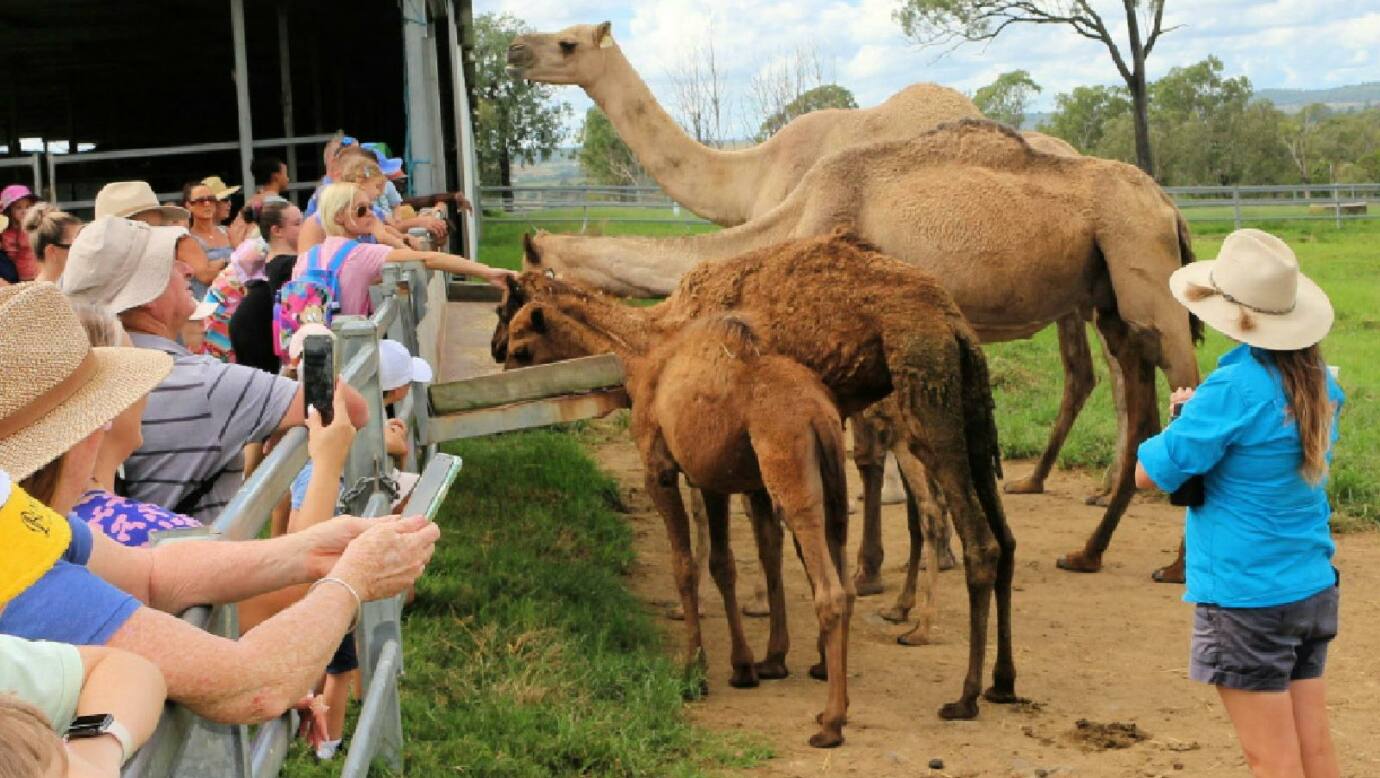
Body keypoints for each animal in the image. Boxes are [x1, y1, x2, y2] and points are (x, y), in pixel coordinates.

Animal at [495, 231, 1018, 723]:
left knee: (975, 539)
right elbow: (772, 547)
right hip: (970, 405)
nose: (497, 352)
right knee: (1004, 537)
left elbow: (730, 542)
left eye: (506, 310)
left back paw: (961, 690)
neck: (652, 340)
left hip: (925, 398)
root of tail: (952, 321)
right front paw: (780, 656)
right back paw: (1002, 681)